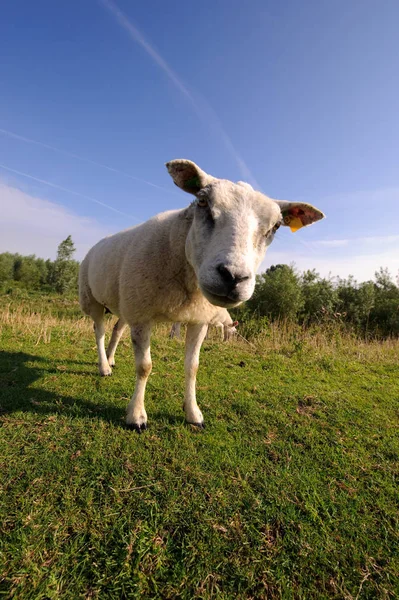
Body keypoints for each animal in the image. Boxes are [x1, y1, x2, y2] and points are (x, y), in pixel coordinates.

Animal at [79, 159, 324, 432]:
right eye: (203, 202)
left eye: (276, 226)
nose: (233, 277)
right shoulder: (142, 317)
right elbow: (144, 367)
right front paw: (136, 416)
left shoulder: (198, 320)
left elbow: (192, 367)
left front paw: (193, 414)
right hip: (93, 300)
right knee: (99, 331)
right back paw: (103, 366)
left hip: (126, 302)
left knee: (117, 330)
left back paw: (111, 360)